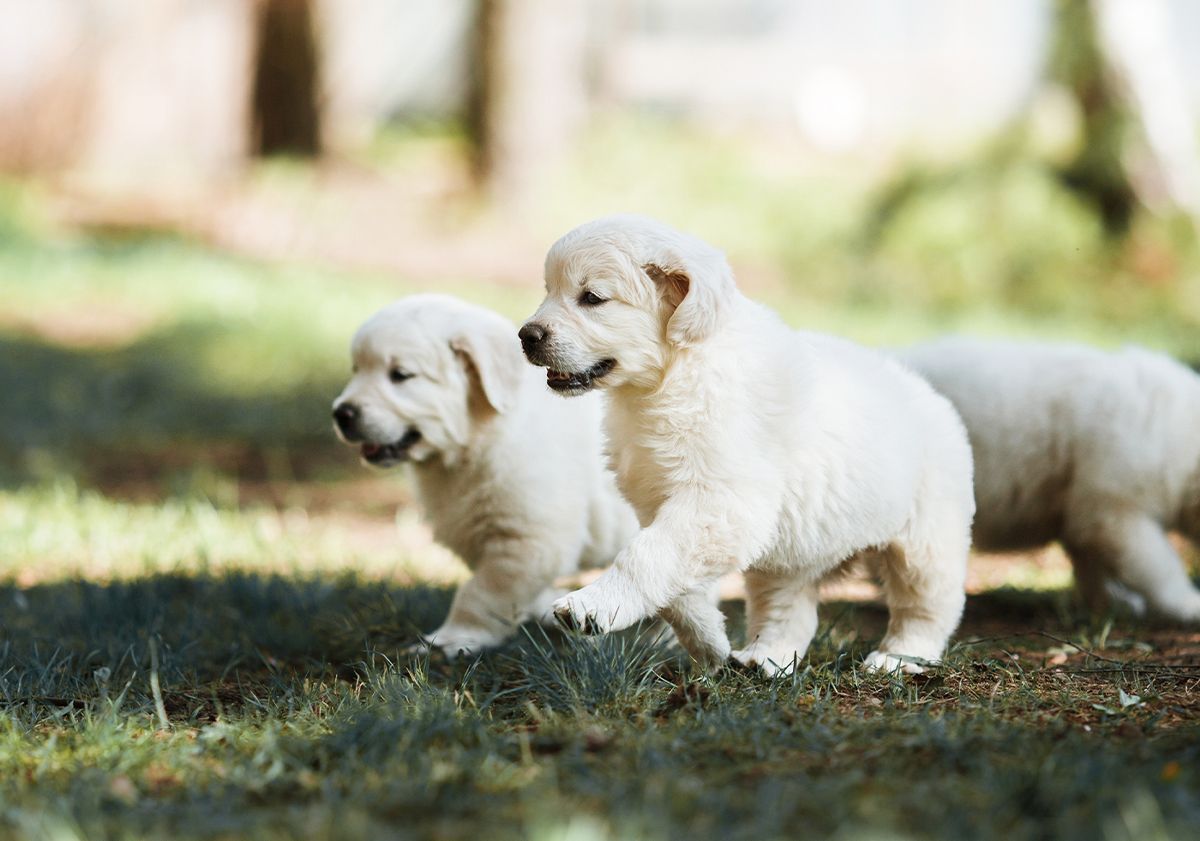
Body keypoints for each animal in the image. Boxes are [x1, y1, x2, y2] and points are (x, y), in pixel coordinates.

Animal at [333, 295, 643, 657]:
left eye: (401, 375)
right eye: (356, 369)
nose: (341, 414)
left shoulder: (529, 539)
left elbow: (480, 592)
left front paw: (452, 639)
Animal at [520, 215, 969, 676]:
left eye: (592, 298)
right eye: (548, 290)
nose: (526, 335)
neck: (670, 380)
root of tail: (928, 393)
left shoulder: (721, 503)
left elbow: (647, 556)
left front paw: (591, 607)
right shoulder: (661, 502)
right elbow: (674, 582)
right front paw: (709, 644)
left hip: (926, 537)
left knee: (929, 604)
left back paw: (899, 658)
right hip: (792, 552)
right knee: (789, 610)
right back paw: (765, 656)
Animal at [902, 338, 1200, 619]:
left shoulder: (1084, 513)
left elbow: (1090, 564)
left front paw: (1111, 602)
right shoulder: (1116, 511)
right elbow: (1160, 565)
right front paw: (1187, 603)